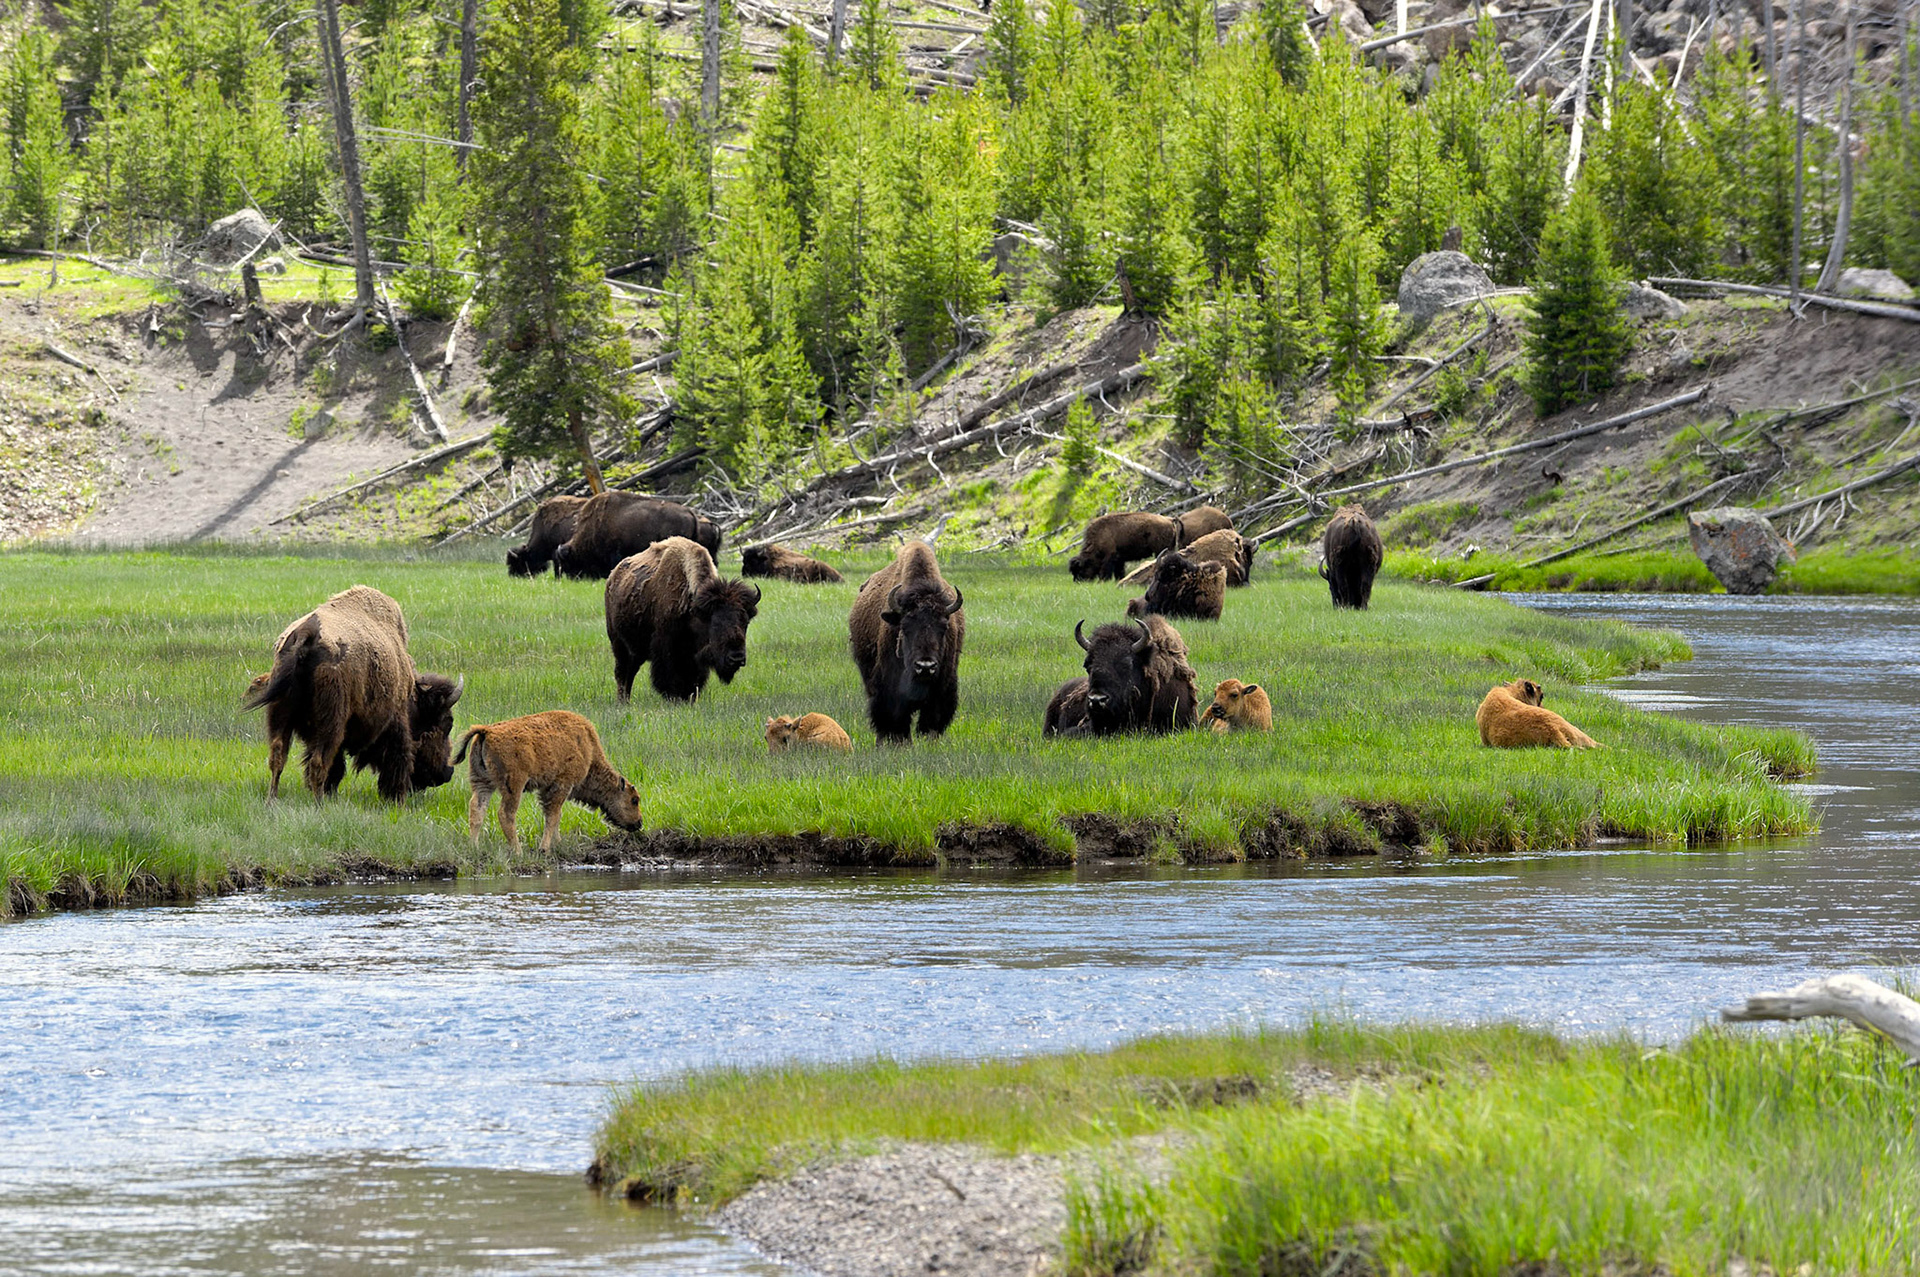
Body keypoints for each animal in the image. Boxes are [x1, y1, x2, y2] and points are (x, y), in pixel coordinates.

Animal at [244, 584, 464, 801]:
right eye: (446, 723)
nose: (447, 772)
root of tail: (307, 634)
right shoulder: (395, 722)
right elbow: (398, 758)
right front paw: (395, 797)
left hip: (280, 714)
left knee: (278, 755)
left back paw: (273, 799)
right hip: (330, 722)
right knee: (318, 762)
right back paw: (318, 802)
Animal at [605, 536, 760, 702]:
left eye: (745, 621)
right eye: (715, 623)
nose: (736, 658)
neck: (694, 608)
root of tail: (612, 577)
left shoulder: (694, 657)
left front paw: (689, 698)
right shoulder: (666, 647)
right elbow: (668, 677)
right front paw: (674, 698)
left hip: (636, 649)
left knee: (630, 672)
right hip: (618, 643)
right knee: (622, 672)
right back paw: (622, 701)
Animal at [849, 540, 965, 743]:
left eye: (943, 627)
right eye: (905, 627)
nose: (925, 666)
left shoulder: (942, 688)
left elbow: (931, 720)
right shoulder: (889, 688)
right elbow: (895, 719)